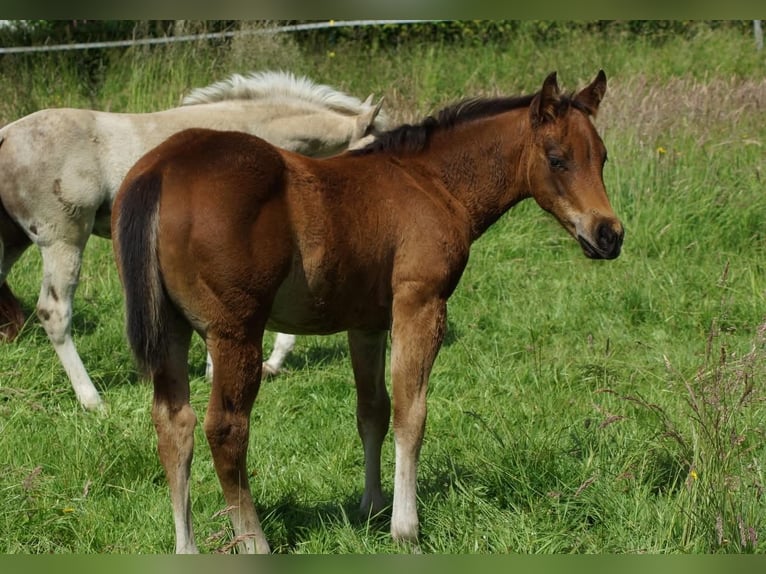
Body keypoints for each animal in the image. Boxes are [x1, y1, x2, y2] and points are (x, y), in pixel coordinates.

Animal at [112, 70, 623, 553]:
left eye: (601, 157)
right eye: (557, 158)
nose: (609, 234)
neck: (432, 183)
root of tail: (161, 169)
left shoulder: (368, 324)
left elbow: (372, 410)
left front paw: (373, 506)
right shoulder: (420, 304)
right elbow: (410, 413)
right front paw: (405, 529)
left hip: (171, 330)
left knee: (174, 425)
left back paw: (187, 546)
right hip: (235, 332)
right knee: (225, 429)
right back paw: (255, 541)